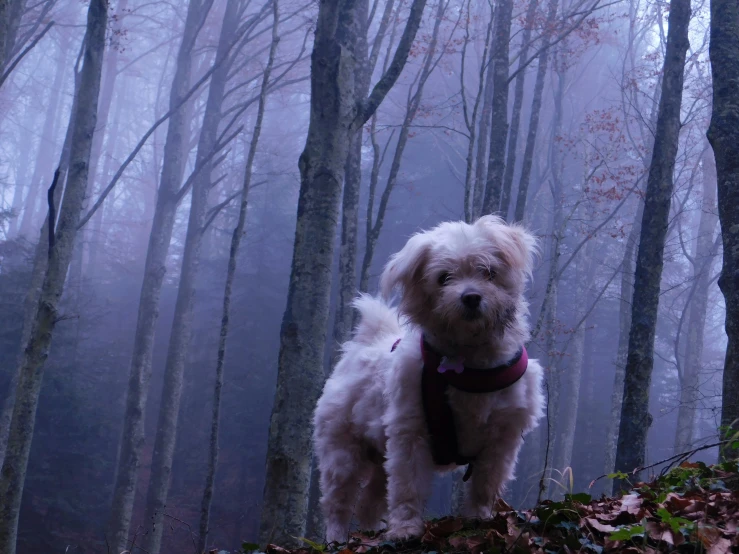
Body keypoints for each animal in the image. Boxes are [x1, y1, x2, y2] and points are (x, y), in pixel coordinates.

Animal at [310, 215, 544, 540]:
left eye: (488, 272)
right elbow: (408, 489)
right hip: (342, 453)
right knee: (339, 504)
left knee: (369, 502)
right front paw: (406, 528)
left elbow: (485, 485)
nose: (471, 297)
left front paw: (479, 518)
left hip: (381, 457)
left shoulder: (502, 439)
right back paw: (337, 538)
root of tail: (365, 344)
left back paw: (371, 533)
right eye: (443, 278)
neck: (468, 368)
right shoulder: (411, 435)